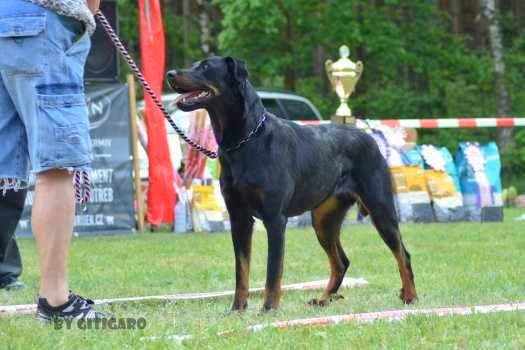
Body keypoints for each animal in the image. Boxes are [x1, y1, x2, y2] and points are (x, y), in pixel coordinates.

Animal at [166, 56, 416, 310]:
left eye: (206, 67)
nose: (170, 74)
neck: (244, 140)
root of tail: (370, 138)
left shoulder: (275, 218)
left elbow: (273, 270)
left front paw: (268, 309)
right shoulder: (239, 218)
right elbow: (241, 270)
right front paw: (237, 309)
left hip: (380, 208)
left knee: (402, 253)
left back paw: (410, 296)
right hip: (323, 219)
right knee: (341, 261)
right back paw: (323, 299)